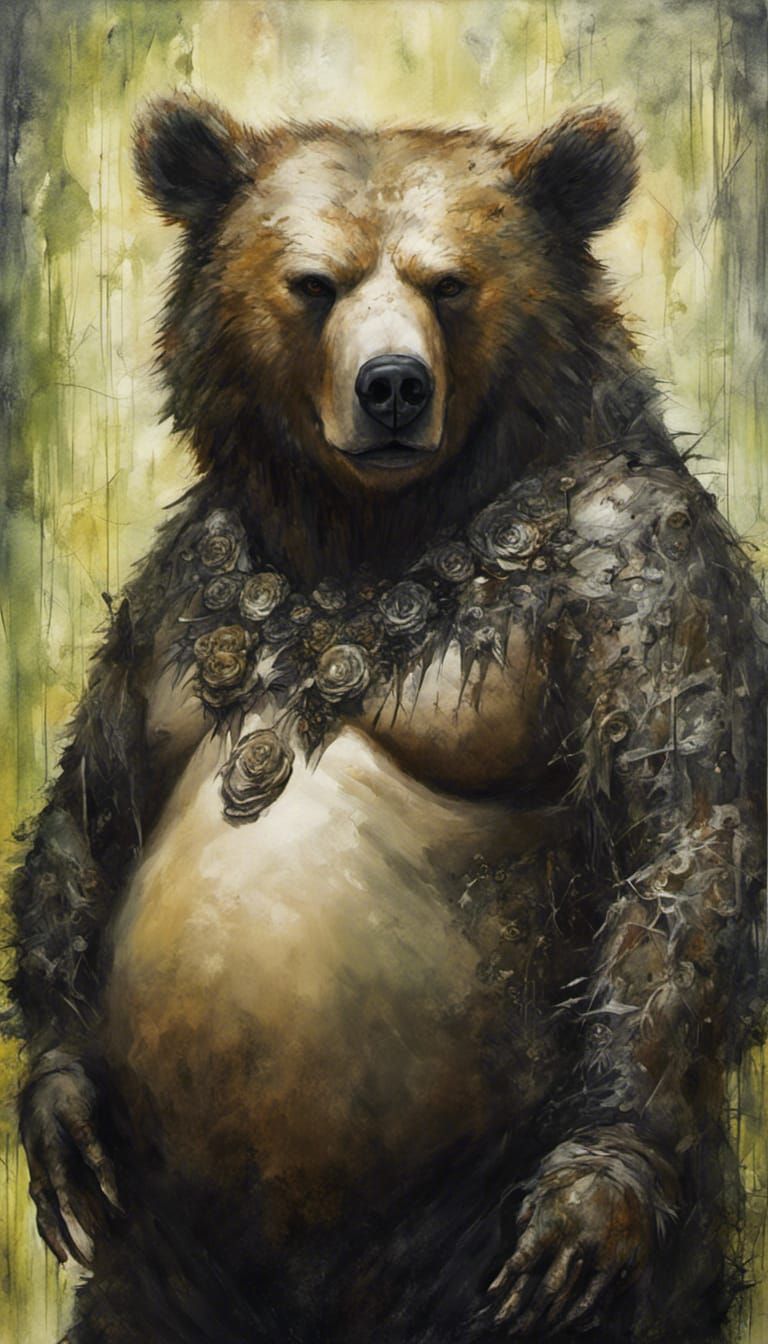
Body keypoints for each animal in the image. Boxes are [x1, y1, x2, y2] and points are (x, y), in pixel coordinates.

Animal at [12, 94, 766, 1344]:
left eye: (448, 281)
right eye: (313, 282)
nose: (395, 387)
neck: (358, 529)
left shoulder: (640, 566)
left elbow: (682, 835)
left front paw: (594, 1187)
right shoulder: (173, 592)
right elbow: (92, 806)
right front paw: (60, 1104)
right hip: (158, 1272)